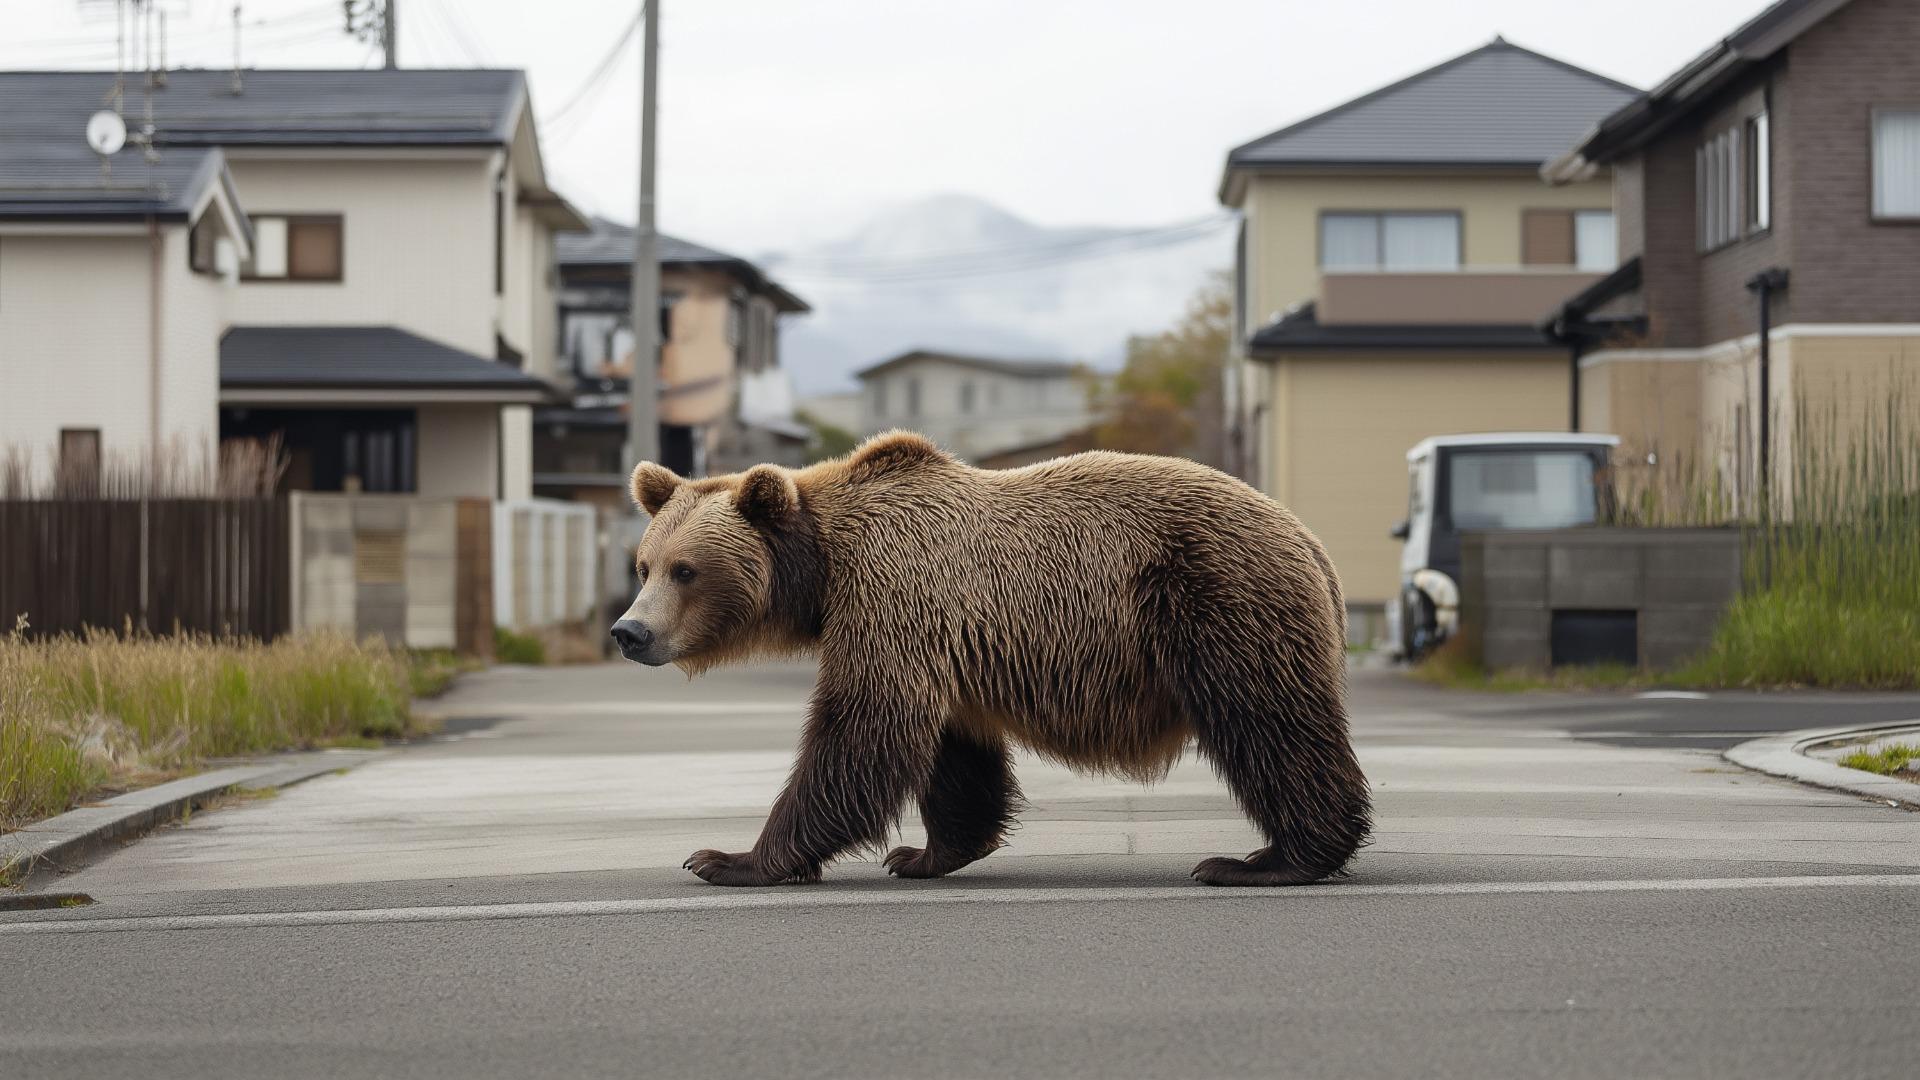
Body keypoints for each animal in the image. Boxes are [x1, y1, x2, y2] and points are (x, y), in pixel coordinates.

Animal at [612, 431, 1371, 887]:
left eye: (686, 570)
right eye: (644, 564)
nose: (629, 631)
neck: (822, 573)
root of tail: (1312, 542)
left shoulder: (892, 595)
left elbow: (862, 729)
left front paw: (728, 857)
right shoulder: (943, 641)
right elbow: (954, 754)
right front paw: (922, 853)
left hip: (1219, 601)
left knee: (1267, 724)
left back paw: (1265, 860)